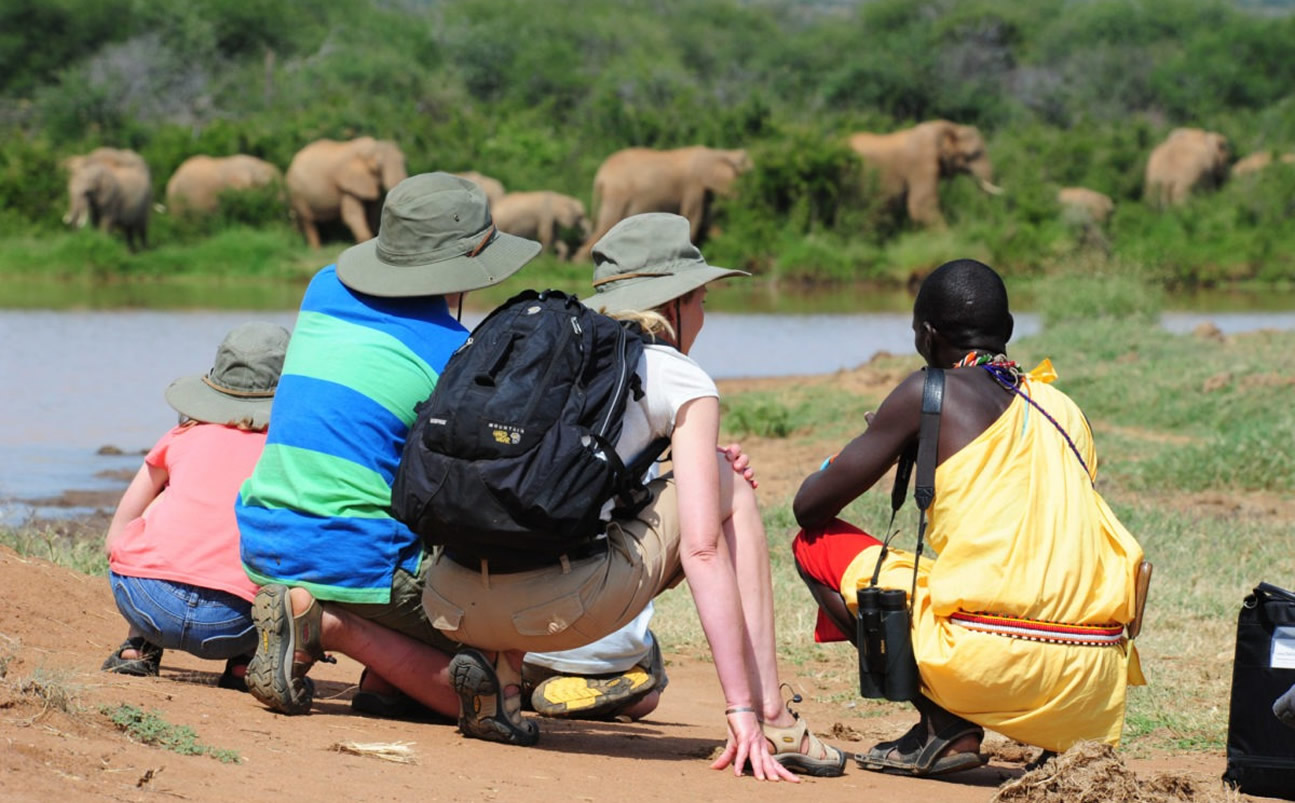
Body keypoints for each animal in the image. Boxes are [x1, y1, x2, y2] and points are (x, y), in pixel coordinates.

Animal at [574, 142, 756, 259]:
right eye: (747, 175)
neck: (721, 152)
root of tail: (600, 176)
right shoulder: (693, 184)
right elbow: (693, 217)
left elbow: (706, 221)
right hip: (617, 192)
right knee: (607, 224)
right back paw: (579, 263)